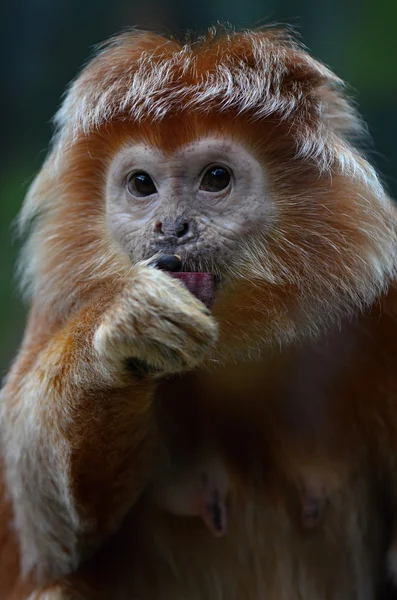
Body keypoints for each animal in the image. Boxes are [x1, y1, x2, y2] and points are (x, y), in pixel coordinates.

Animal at [0, 25, 396, 600]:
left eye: (215, 178)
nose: (171, 227)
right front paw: (128, 325)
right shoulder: (61, 300)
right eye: (142, 185)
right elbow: (46, 534)